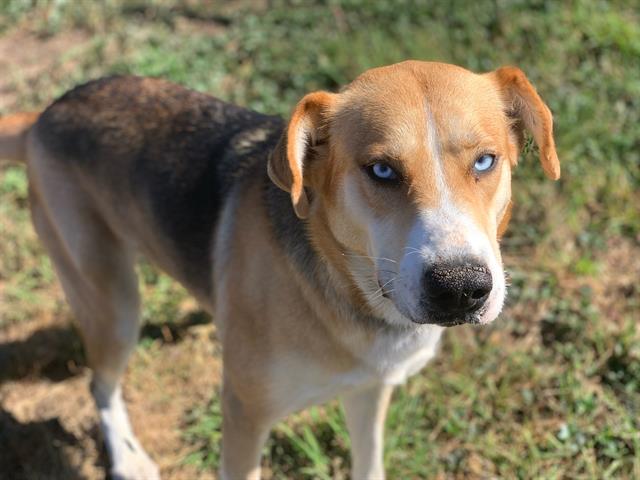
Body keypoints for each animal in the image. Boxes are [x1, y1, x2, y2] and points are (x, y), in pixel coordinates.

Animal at [0, 62, 556, 478]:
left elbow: (369, 462)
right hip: (112, 303)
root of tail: (46, 113)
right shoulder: (243, 415)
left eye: (485, 162)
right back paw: (127, 458)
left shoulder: (369, 391)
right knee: (100, 385)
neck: (346, 293)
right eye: (381, 170)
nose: (461, 289)